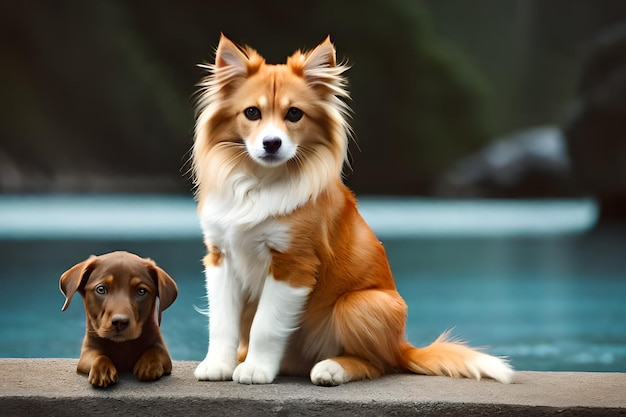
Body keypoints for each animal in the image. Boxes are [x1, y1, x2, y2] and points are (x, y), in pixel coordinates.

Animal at [59, 250, 178, 386]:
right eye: (101, 289)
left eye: (141, 291)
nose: (120, 322)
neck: (122, 345)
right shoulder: (87, 351)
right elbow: (98, 355)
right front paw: (102, 370)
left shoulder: (161, 348)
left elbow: (155, 350)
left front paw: (148, 365)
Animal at [191, 34, 512, 386]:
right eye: (251, 112)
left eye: (294, 114)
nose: (271, 143)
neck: (261, 181)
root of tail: (402, 346)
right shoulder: (220, 257)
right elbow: (222, 322)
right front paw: (218, 364)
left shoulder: (293, 264)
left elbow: (266, 324)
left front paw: (256, 369)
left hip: (357, 304)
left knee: (379, 364)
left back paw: (333, 368)